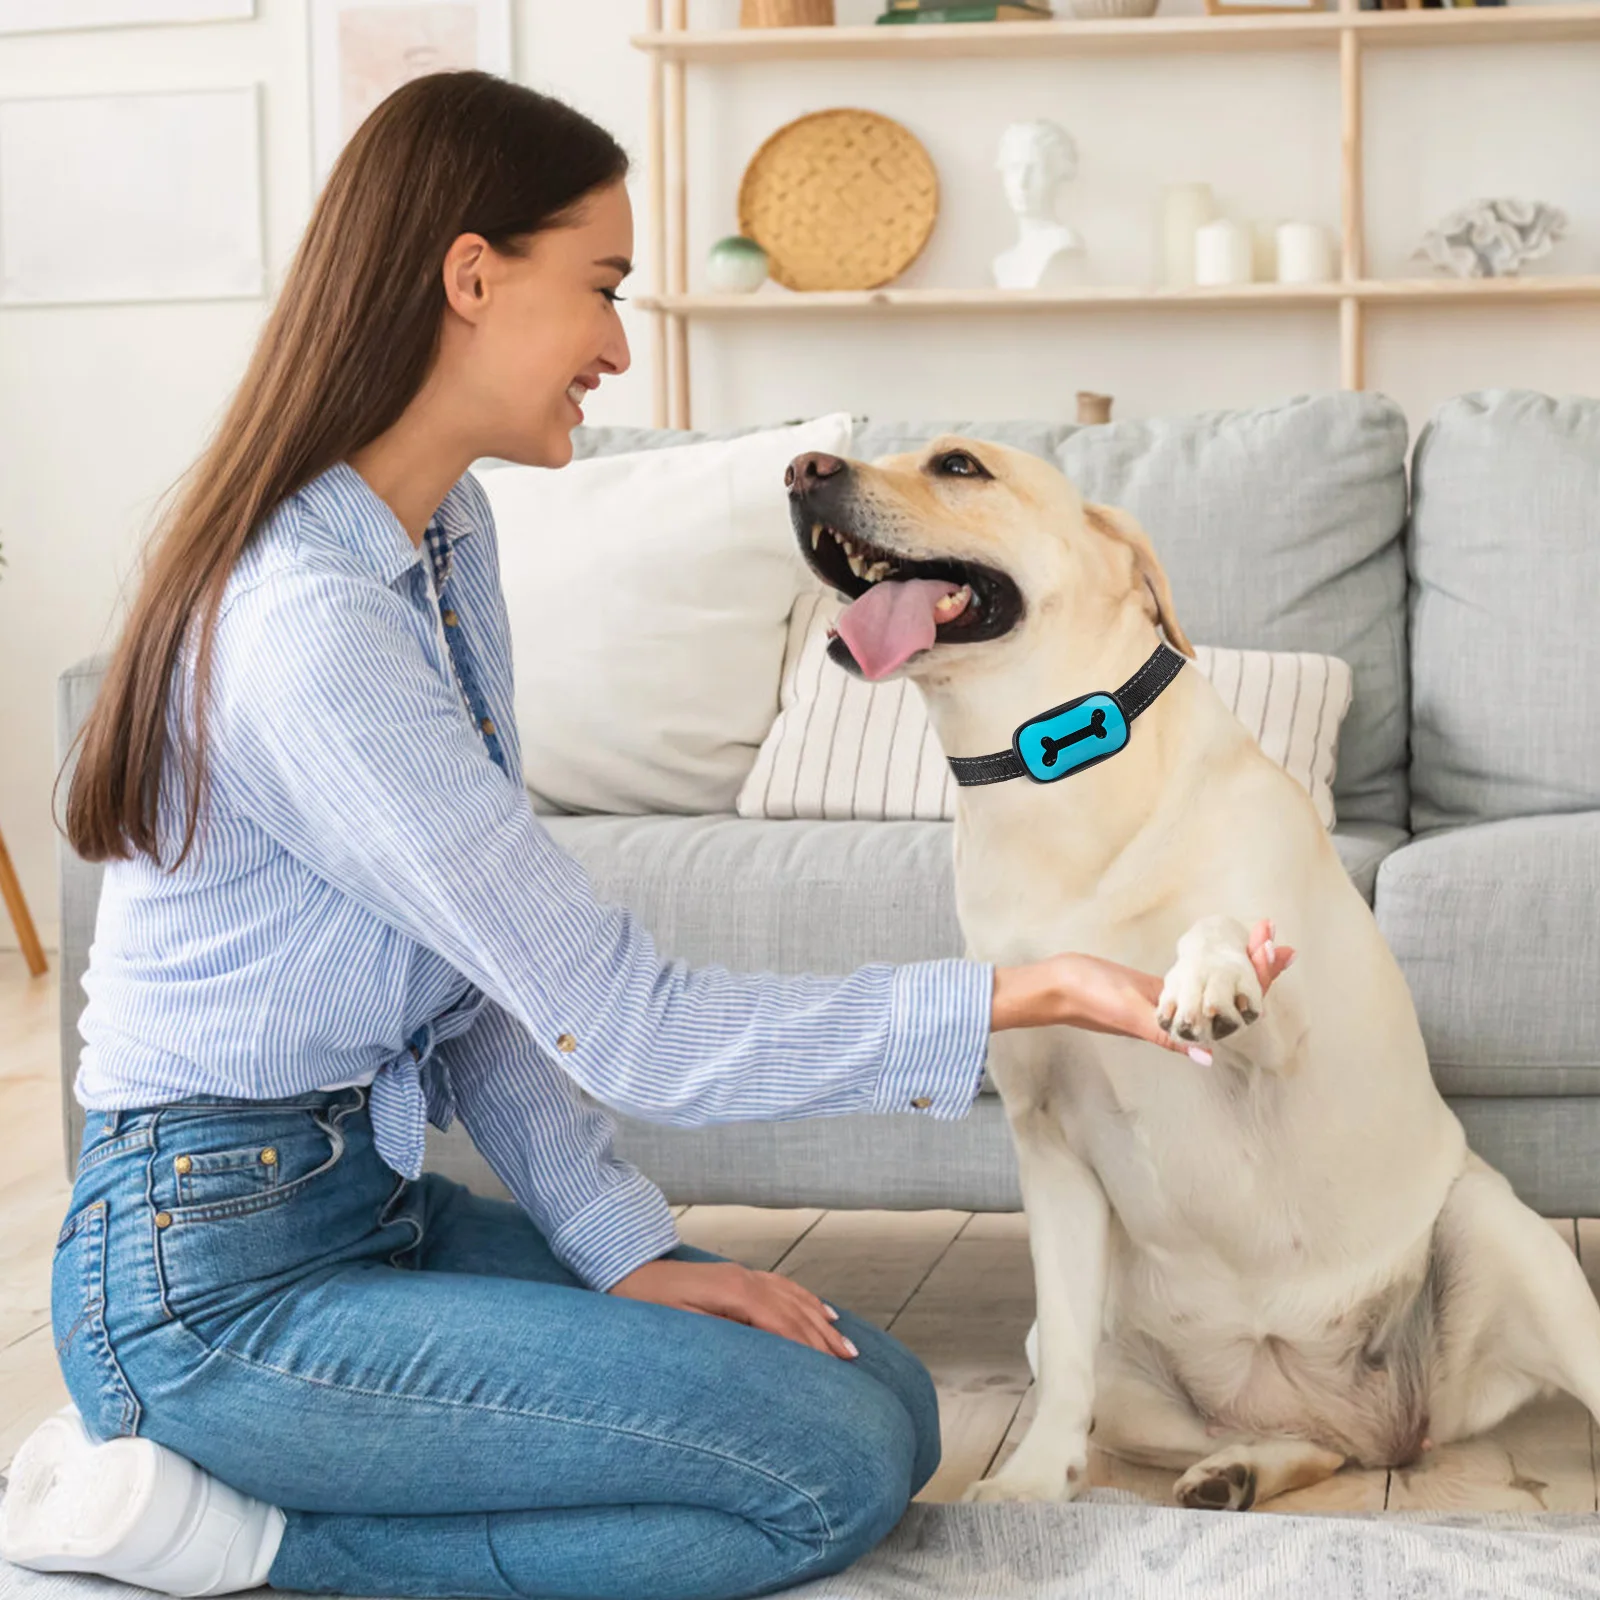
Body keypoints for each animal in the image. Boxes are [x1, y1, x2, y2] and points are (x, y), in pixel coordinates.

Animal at [784, 438, 1600, 1510]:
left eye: (959, 465)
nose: (801, 467)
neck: (1053, 786)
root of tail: (1382, 1426)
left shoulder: (1291, 1043)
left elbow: (1220, 929)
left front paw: (1205, 977)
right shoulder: (1047, 1144)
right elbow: (1067, 1376)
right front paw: (1029, 1485)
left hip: (1497, 1231)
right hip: (1131, 1366)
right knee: (1286, 1441)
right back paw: (1237, 1471)